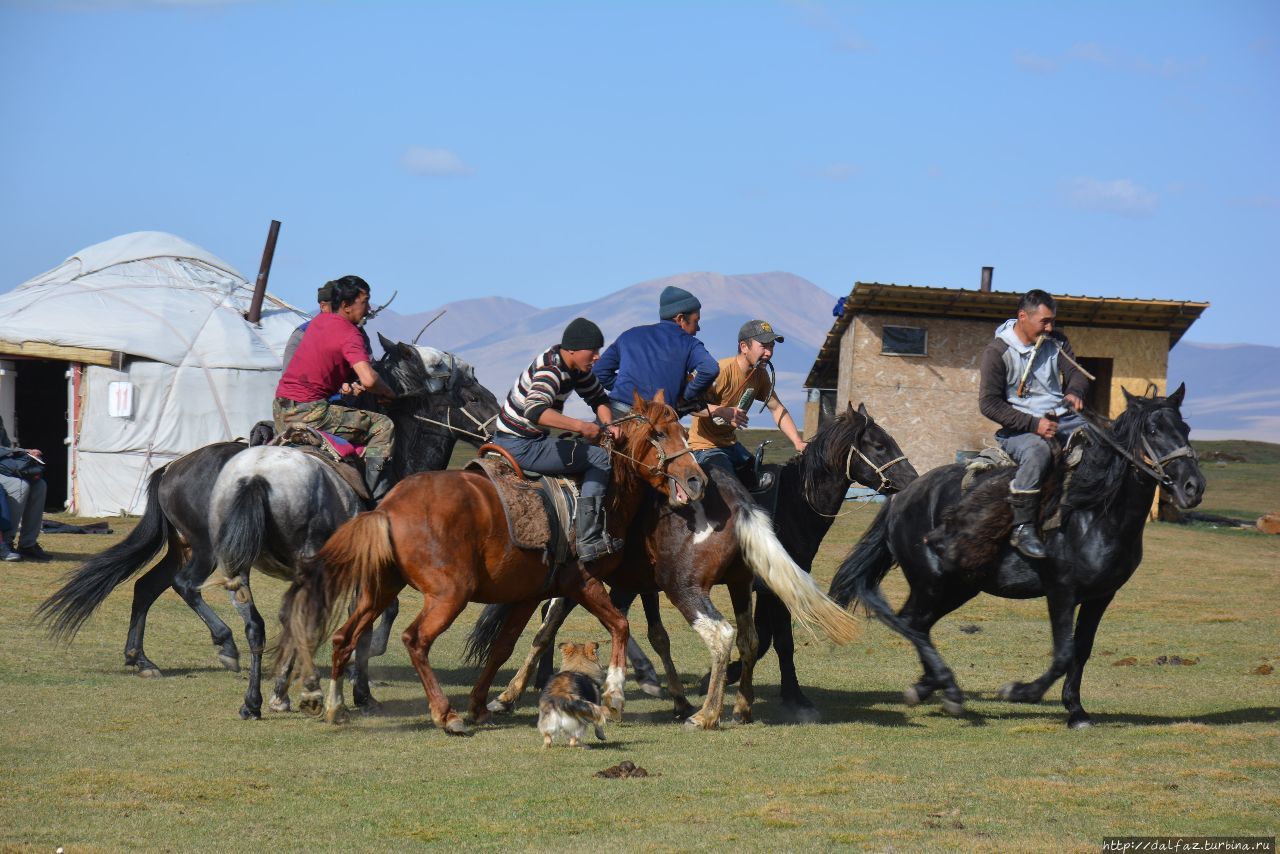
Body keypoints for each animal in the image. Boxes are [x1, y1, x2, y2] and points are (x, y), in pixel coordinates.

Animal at [272, 394, 711, 737]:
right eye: (659, 434)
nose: (696, 480)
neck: (601, 496)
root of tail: (389, 507)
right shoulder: (581, 583)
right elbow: (620, 625)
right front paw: (616, 695)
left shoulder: (528, 594)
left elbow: (503, 648)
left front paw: (483, 705)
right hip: (449, 594)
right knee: (415, 640)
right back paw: (444, 714)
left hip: (381, 588)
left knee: (344, 637)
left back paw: (335, 707)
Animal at [824, 386, 1203, 727]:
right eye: (1152, 430)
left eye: (1185, 428)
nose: (1193, 487)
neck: (1095, 513)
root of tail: (901, 497)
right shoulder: (1061, 591)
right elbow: (1064, 652)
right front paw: (1021, 691)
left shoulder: (1101, 596)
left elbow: (1082, 650)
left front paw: (1077, 711)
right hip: (930, 581)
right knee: (909, 621)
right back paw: (948, 689)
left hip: (959, 586)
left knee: (916, 623)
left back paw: (929, 686)